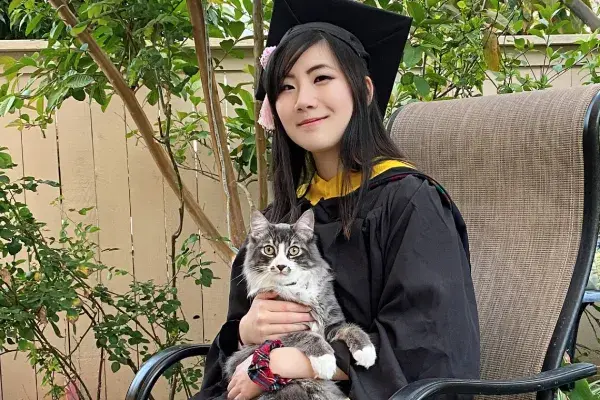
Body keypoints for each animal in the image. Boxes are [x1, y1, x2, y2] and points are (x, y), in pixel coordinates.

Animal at [225, 209, 376, 400]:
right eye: (269, 249)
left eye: (294, 250)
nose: (281, 266)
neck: (296, 288)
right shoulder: (278, 332)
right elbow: (308, 335)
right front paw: (325, 360)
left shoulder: (332, 323)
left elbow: (352, 328)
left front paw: (366, 351)